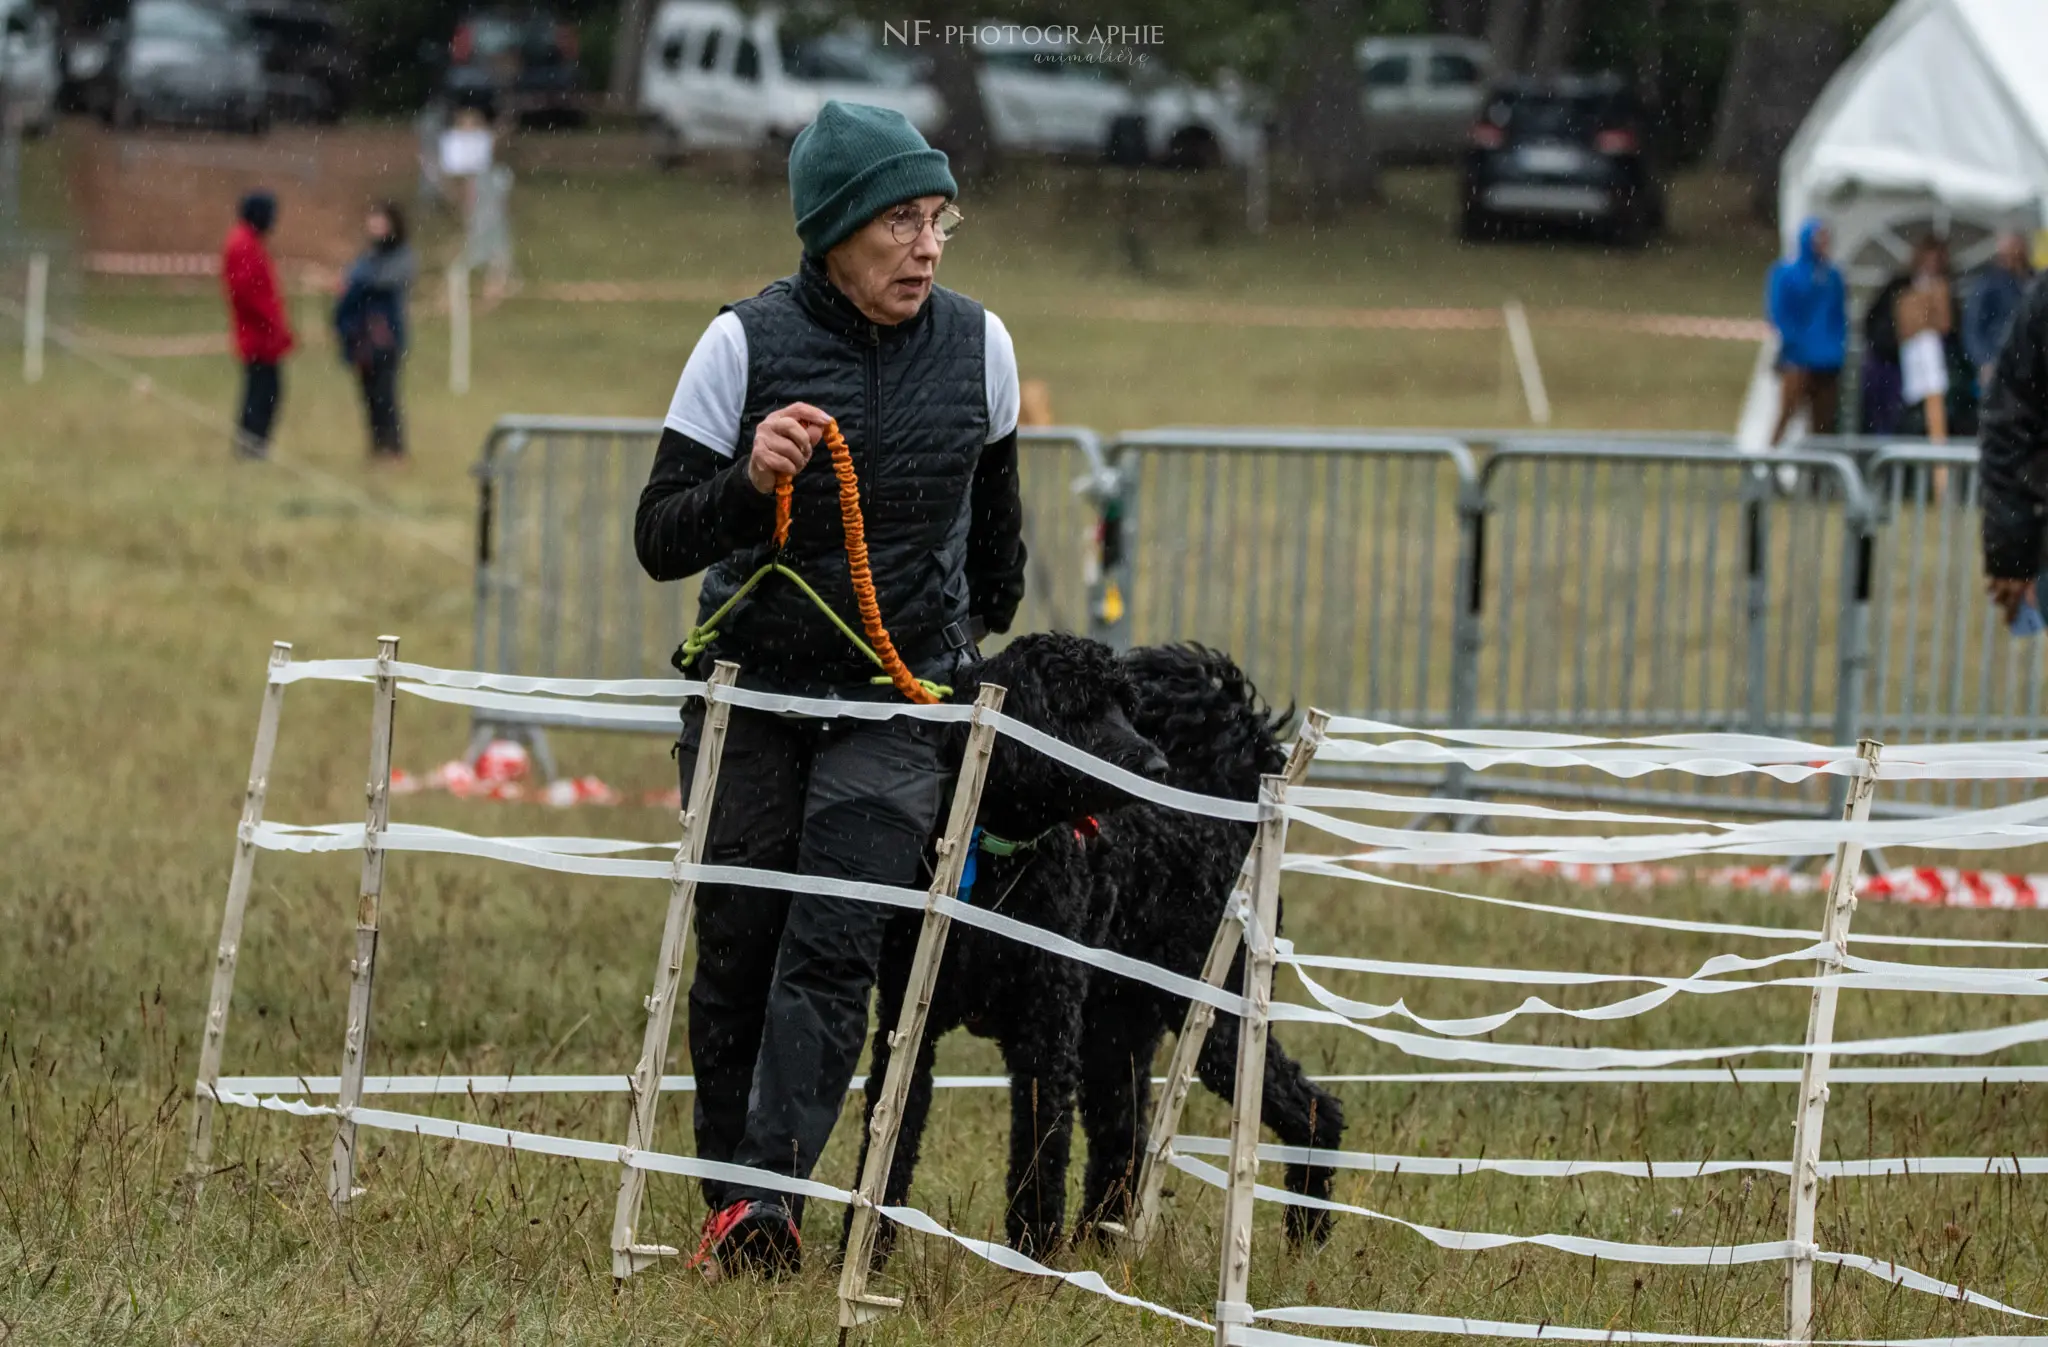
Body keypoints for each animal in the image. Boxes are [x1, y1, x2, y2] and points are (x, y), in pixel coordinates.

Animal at [847, 634, 1343, 1252]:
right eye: (1079, 707)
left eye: (1125, 707)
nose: (1156, 765)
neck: (998, 858)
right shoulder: (907, 1021)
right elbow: (891, 1137)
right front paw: (865, 1248)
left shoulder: (1047, 1030)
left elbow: (1041, 1152)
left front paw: (1031, 1256)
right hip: (1118, 1027)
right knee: (1123, 1134)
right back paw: (1102, 1242)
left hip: (1213, 1019)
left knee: (1313, 1106)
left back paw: (1307, 1233)